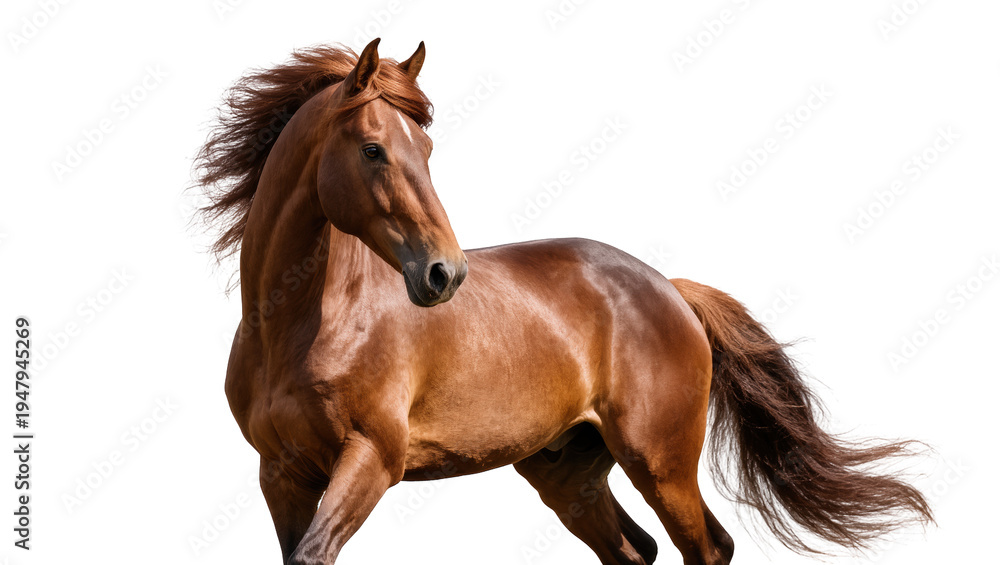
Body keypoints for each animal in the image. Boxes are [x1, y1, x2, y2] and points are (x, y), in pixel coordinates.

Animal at [195, 39, 932, 564]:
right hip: (568, 472)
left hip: (660, 462)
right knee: (637, 550)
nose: (443, 274)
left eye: (426, 147)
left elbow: (316, 552)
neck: (299, 327)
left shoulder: (373, 456)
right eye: (374, 149)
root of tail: (670, 289)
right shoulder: (281, 475)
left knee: (707, 547)